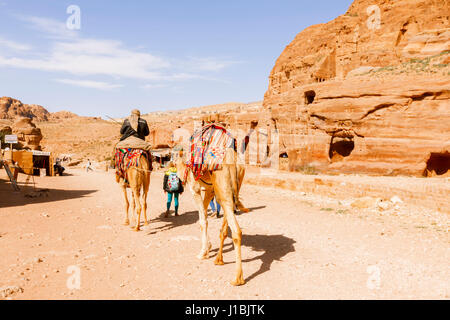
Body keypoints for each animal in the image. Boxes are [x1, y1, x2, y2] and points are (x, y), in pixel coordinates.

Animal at [175, 149, 250, 286]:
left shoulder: (195, 188)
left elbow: (202, 220)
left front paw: (203, 252)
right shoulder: (210, 190)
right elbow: (203, 216)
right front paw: (208, 248)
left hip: (223, 188)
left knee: (236, 231)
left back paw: (237, 278)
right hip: (230, 189)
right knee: (225, 226)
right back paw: (219, 260)